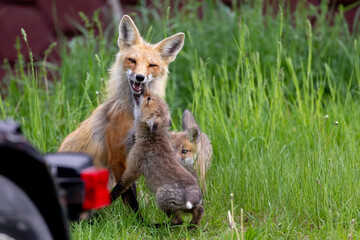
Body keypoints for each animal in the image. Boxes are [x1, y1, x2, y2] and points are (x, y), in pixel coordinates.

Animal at [58, 15, 186, 213]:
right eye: (132, 60)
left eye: (152, 65)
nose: (140, 77)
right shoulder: (117, 155)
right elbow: (129, 196)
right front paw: (136, 219)